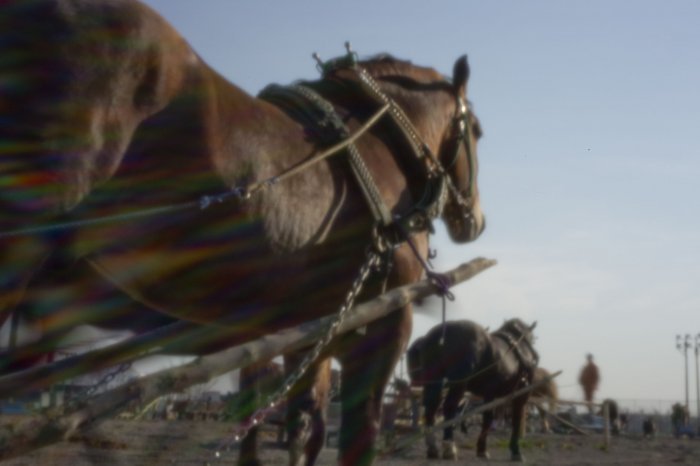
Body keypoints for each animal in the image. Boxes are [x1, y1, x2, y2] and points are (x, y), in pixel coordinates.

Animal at [1, 1, 482, 464]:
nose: (474, 220)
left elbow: (300, 426)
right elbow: (355, 437)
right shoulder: (382, 325)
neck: (379, 145)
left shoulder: (310, 332)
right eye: (476, 130)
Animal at [408, 318, 540, 460]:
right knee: (449, 407)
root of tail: (440, 334)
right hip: (459, 382)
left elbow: (488, 418)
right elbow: (516, 419)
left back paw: (432, 447)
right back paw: (449, 447)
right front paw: (516, 450)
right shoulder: (521, 394)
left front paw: (482, 449)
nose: (536, 356)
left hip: (434, 380)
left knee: (430, 408)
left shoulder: (490, 394)